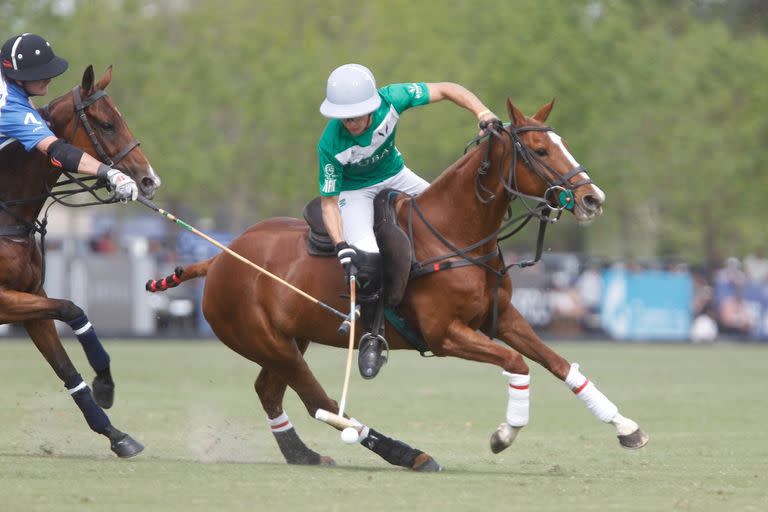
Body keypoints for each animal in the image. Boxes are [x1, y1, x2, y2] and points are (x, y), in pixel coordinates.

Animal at [0, 66, 159, 458]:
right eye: (106, 124)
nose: (148, 180)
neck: (6, 215)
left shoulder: (31, 298)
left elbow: (67, 369)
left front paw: (116, 434)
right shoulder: (4, 301)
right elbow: (72, 309)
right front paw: (105, 382)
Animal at [147, 98, 644, 470]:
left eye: (562, 143)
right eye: (539, 151)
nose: (592, 199)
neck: (455, 233)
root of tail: (219, 258)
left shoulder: (502, 319)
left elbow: (559, 363)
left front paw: (626, 427)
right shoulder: (445, 334)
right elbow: (517, 363)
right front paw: (504, 433)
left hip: (287, 341)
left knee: (271, 391)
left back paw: (303, 454)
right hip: (265, 340)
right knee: (321, 401)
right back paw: (409, 454)